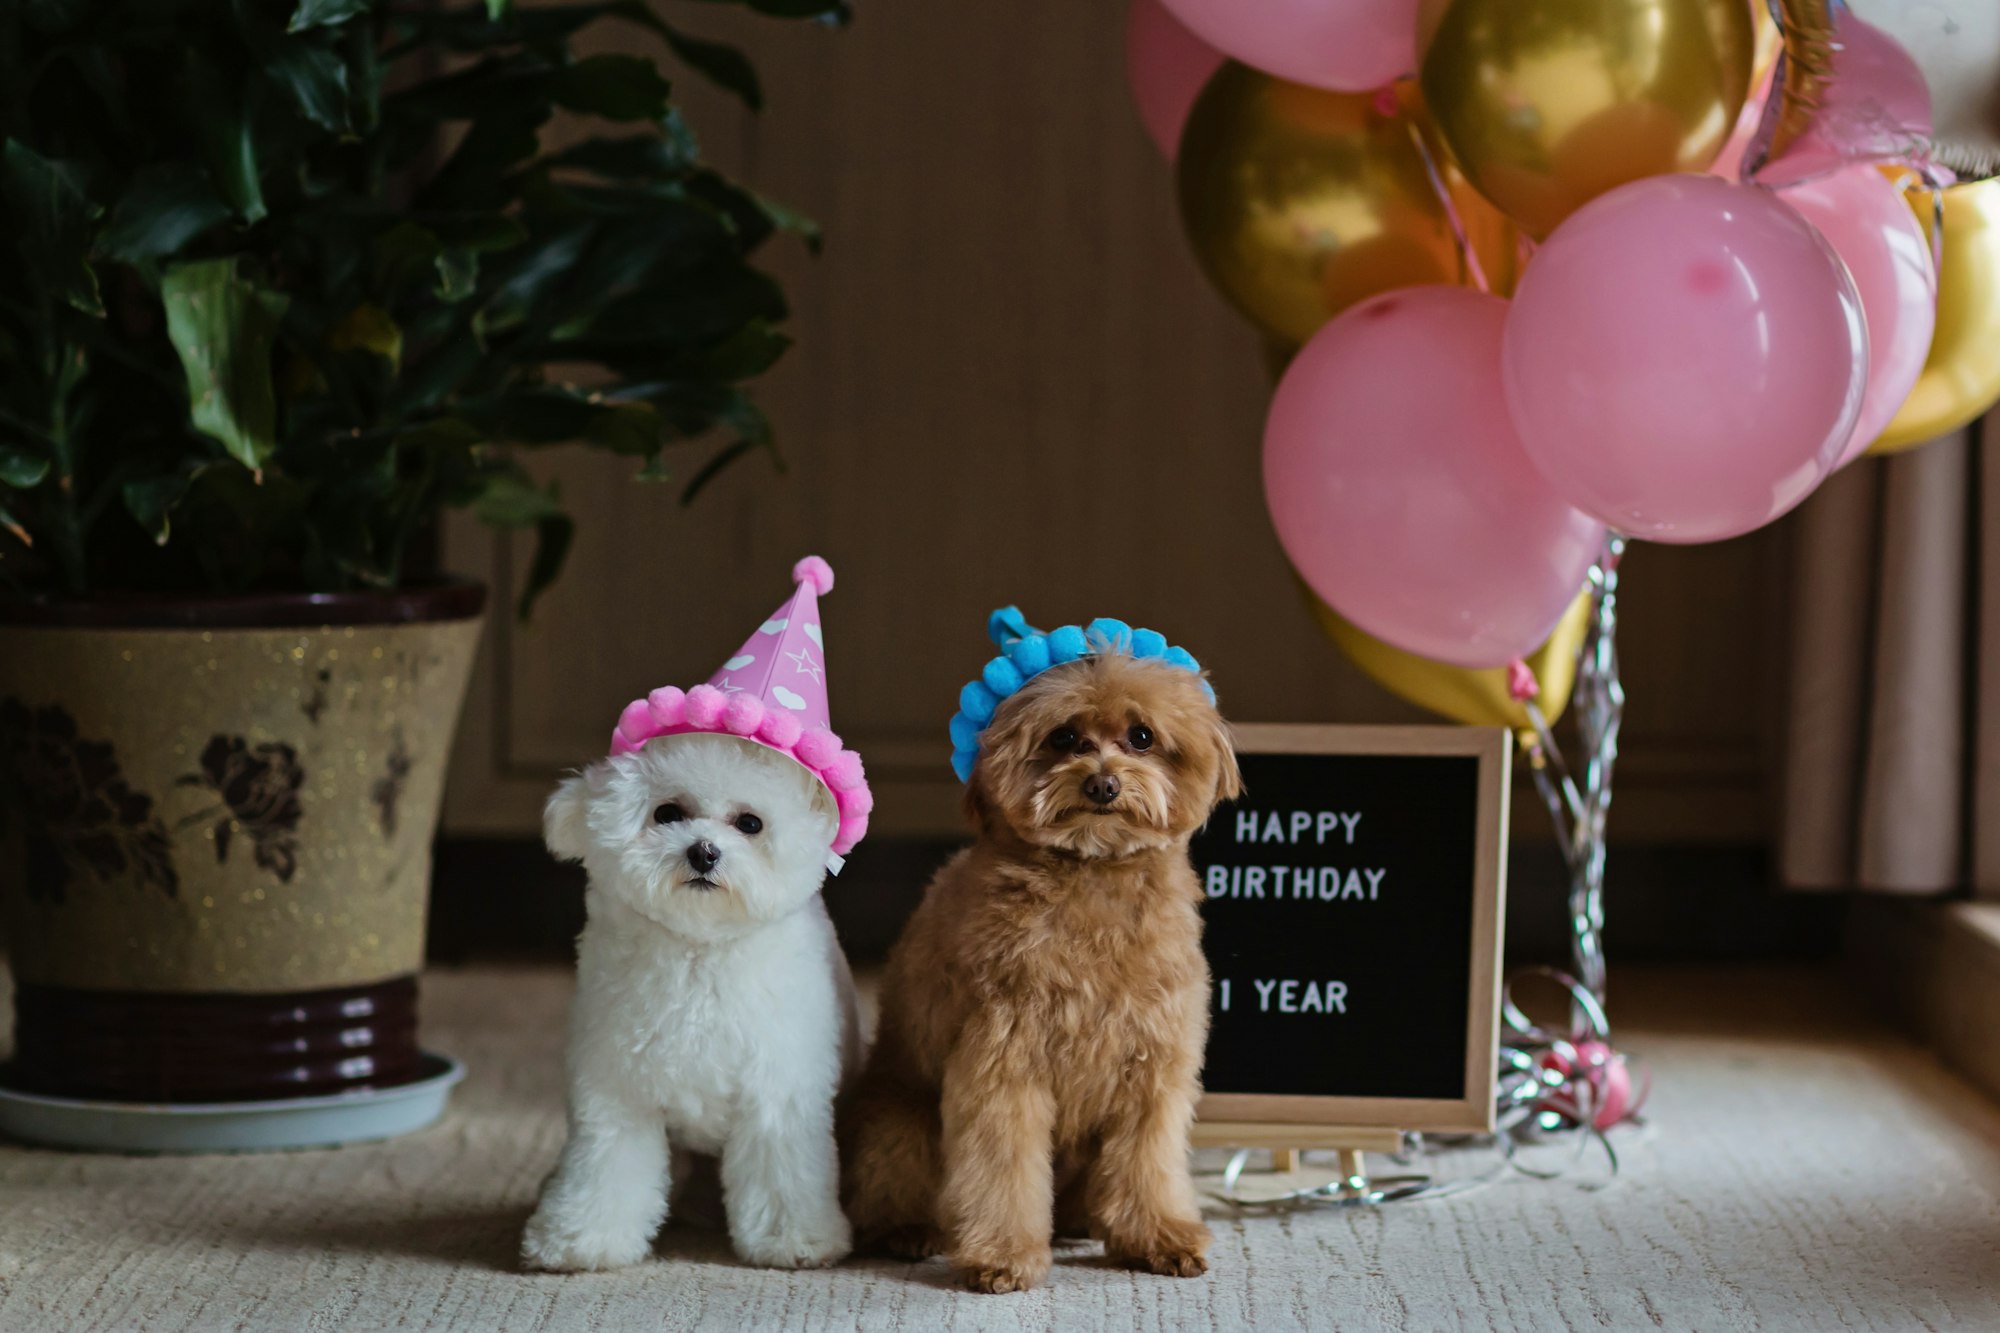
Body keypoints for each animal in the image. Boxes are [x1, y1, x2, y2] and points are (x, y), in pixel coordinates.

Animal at [520, 732, 856, 1272]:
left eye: (750, 823)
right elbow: (606, 1164)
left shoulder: (777, 1094)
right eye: (667, 813)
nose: (704, 852)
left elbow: (782, 1171)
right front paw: (581, 1238)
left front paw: (795, 1239)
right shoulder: (618, 1088)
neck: (699, 949)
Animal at [840, 648, 1232, 1288]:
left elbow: (1148, 1163)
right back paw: (909, 1232)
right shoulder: (1004, 1062)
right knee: (889, 1195)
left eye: (1142, 736)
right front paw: (1003, 1254)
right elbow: (1004, 1169)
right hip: (899, 1123)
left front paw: (1157, 1238)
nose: (1102, 783)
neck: (1092, 873)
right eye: (1064, 737)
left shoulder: (1153, 1067)